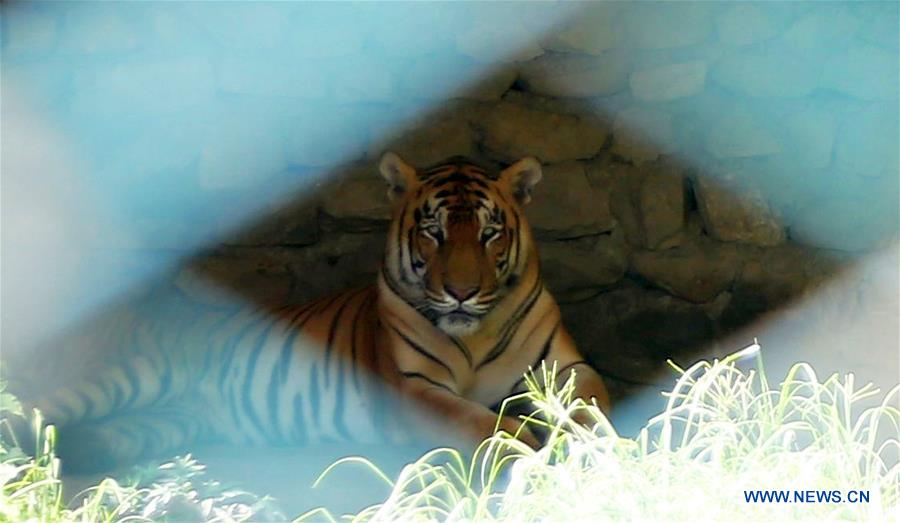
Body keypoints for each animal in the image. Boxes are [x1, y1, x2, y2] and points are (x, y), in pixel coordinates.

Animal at [20, 152, 611, 472]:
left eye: (490, 233)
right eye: (434, 232)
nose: (462, 293)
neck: (476, 332)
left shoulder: (564, 368)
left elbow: (591, 406)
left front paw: (598, 442)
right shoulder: (415, 387)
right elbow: (481, 423)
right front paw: (526, 447)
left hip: (162, 421)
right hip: (125, 376)